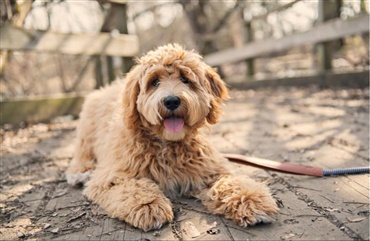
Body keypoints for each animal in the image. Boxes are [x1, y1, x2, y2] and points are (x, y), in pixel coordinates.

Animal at [66, 43, 278, 232]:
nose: (171, 100)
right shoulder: (110, 176)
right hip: (86, 132)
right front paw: (148, 205)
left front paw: (250, 200)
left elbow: (231, 182)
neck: (168, 144)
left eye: (185, 79)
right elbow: (131, 186)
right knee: (82, 153)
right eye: (154, 82)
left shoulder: (210, 169)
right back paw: (80, 172)